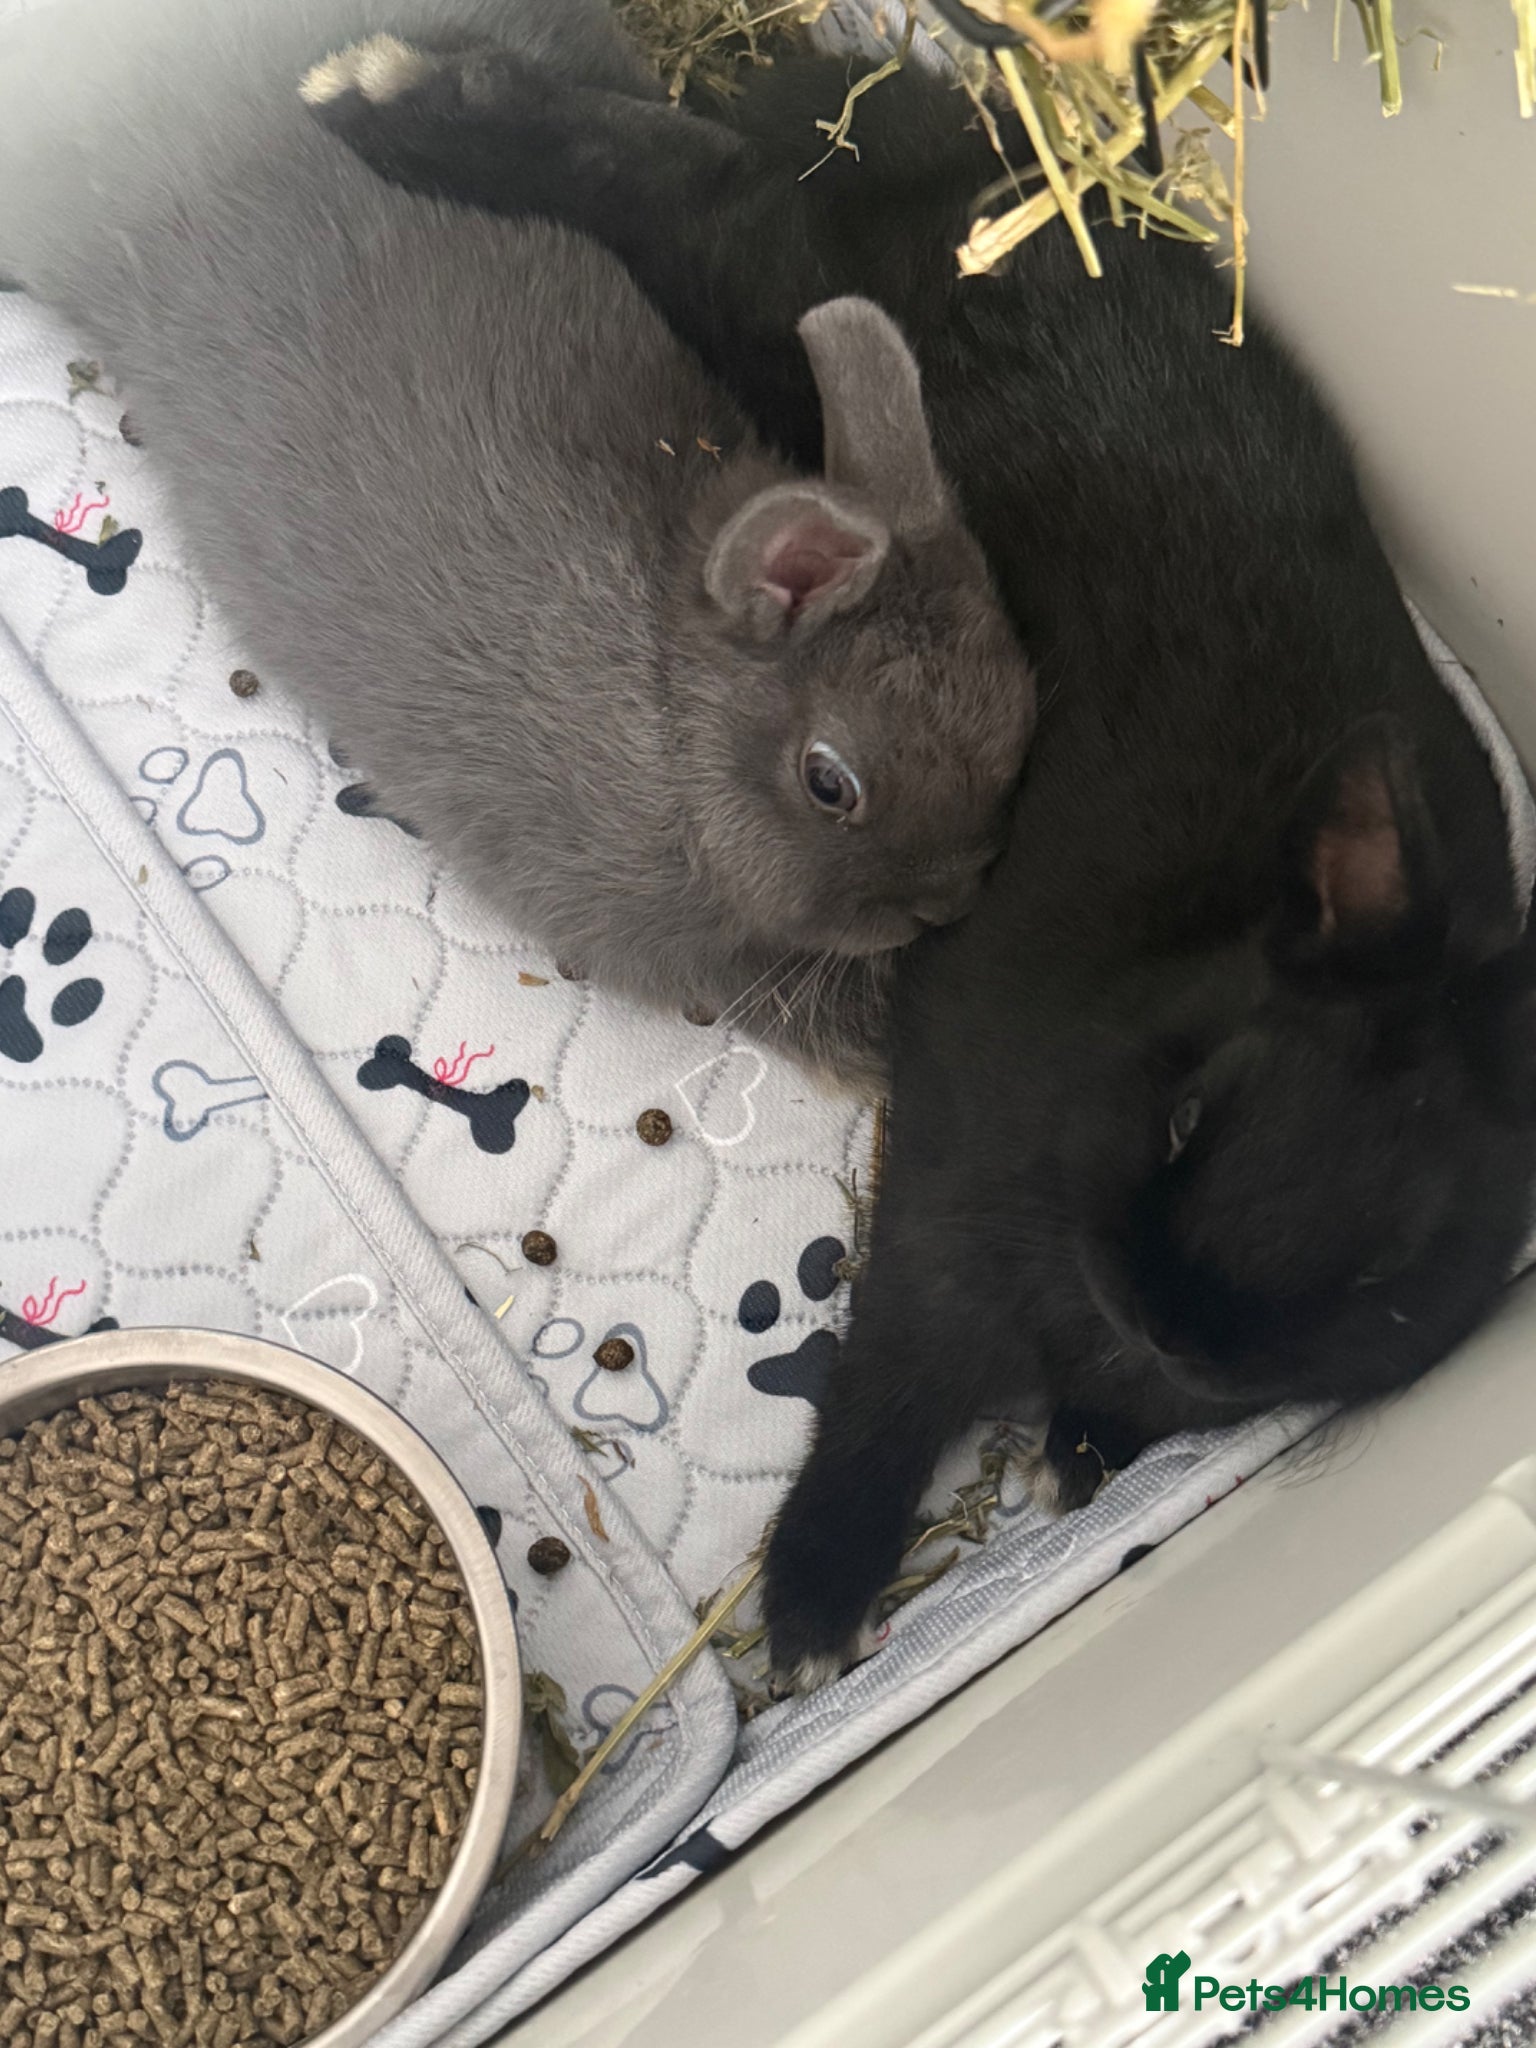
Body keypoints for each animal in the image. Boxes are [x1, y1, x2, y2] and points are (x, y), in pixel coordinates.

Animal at [303, 37, 1536, 1686]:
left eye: (1391, 1276)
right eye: (1192, 1110)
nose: (1161, 1320)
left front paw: (1081, 1454)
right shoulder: (944, 1221)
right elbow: (884, 1393)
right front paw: (814, 1614)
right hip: (763, 292)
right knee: (668, 185)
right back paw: (385, 100)